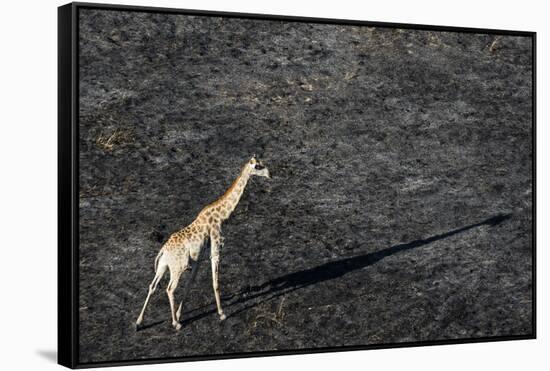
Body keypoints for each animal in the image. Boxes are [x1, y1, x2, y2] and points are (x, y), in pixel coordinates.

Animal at [135, 155, 270, 330]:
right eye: (258, 167)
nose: (270, 174)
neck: (222, 217)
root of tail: (163, 250)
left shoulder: (198, 259)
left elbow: (190, 284)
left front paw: (180, 313)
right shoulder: (216, 251)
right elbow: (215, 283)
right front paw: (222, 314)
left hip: (163, 266)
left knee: (152, 286)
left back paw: (139, 322)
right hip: (178, 267)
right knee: (170, 289)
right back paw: (175, 324)